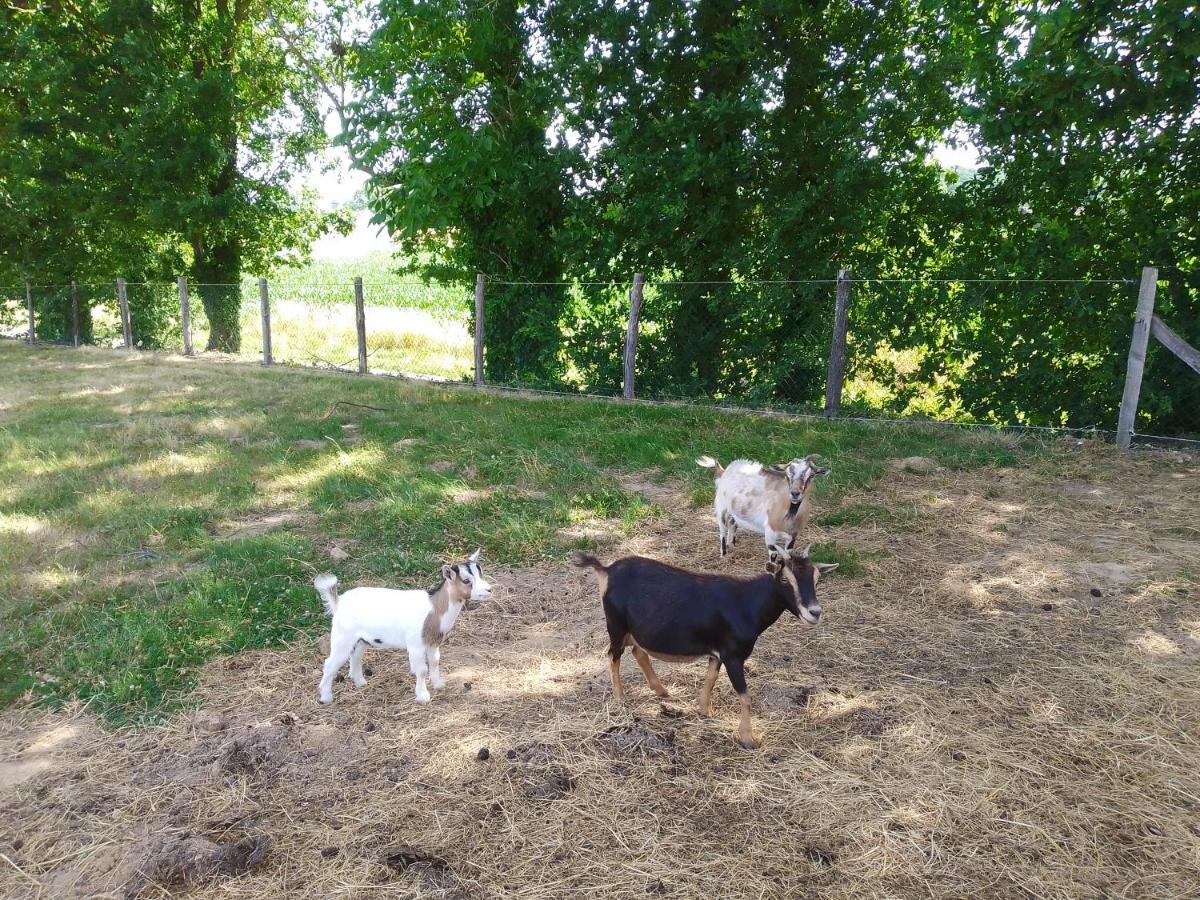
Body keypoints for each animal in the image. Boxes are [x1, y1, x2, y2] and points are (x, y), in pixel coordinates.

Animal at [700, 453, 830, 561]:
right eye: (787, 476)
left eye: (811, 475)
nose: (795, 493)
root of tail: (724, 471)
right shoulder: (770, 532)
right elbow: (773, 554)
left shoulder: (793, 535)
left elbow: (788, 554)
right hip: (721, 507)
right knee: (722, 530)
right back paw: (724, 554)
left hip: (734, 511)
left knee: (732, 524)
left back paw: (731, 546)